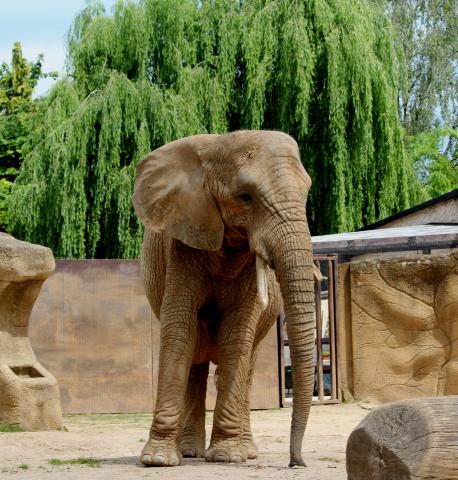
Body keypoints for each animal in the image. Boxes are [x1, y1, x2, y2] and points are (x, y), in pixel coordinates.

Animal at [131, 129, 314, 466]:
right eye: (245, 197)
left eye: (306, 192)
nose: (297, 462)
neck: (219, 146)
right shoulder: (183, 239)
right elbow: (179, 331)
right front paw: (158, 460)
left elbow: (235, 337)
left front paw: (227, 457)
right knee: (194, 359)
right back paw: (189, 452)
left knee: (247, 364)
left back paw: (246, 451)